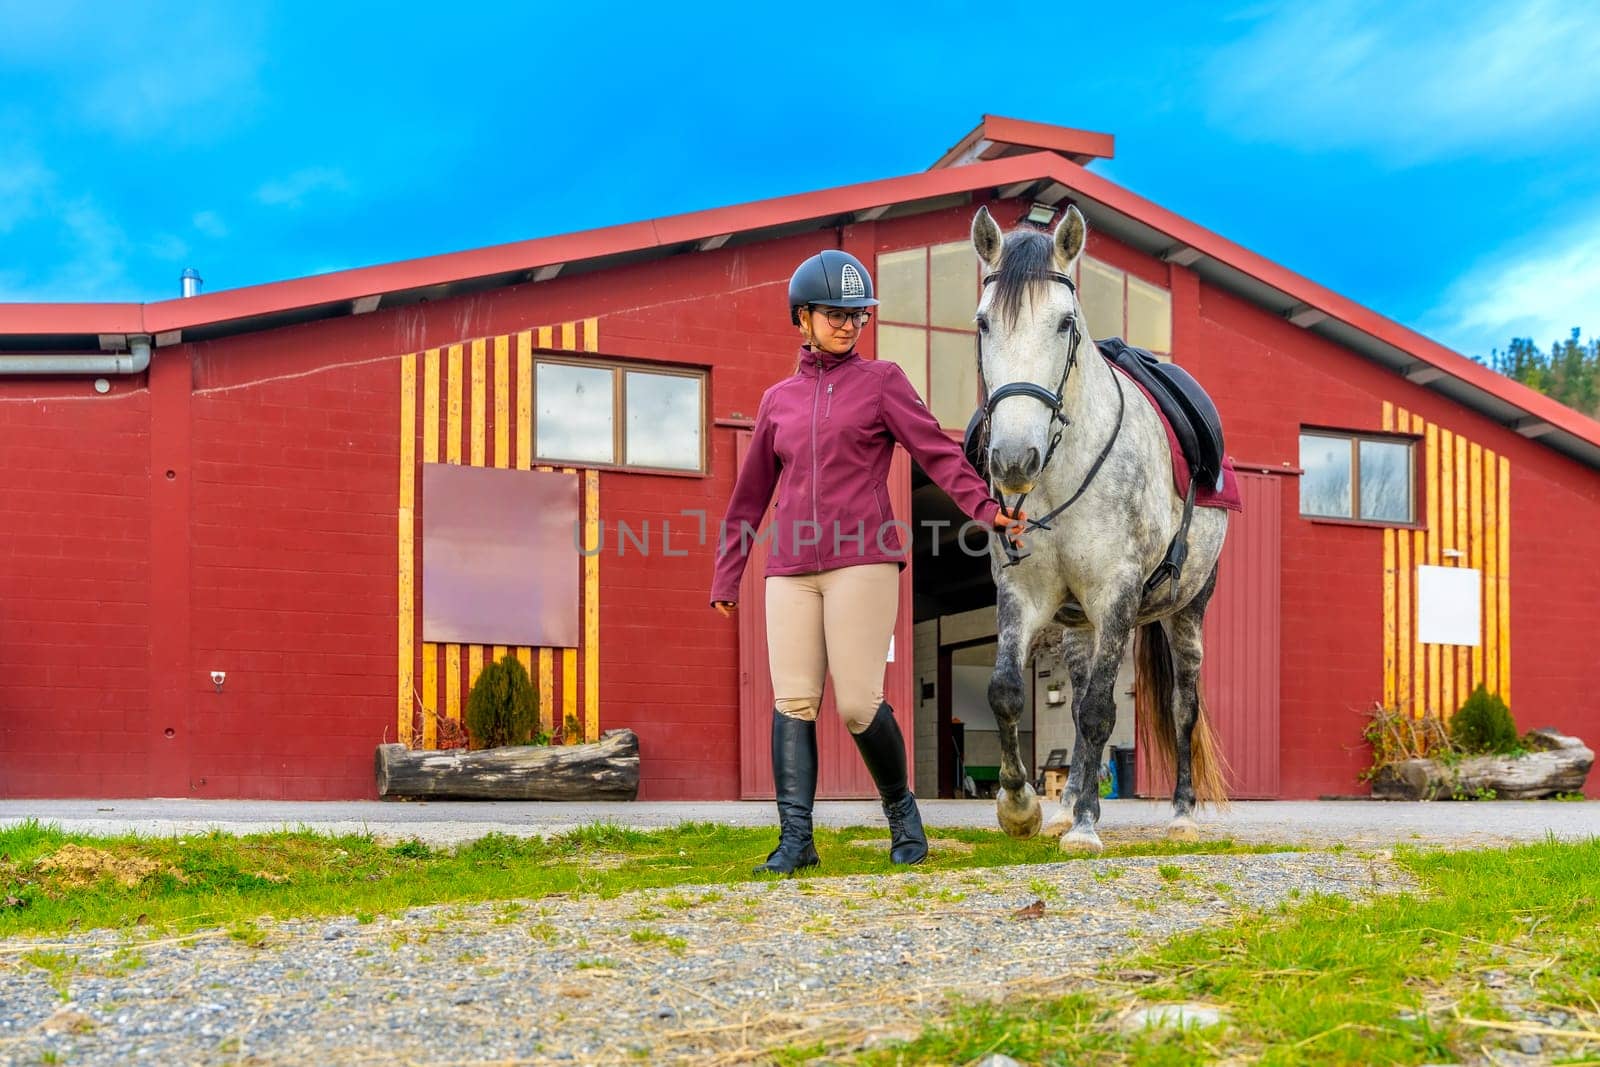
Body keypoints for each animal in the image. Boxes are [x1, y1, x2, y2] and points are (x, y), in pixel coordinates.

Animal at [966, 204, 1228, 857]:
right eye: (984, 323)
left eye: (1064, 324)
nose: (1013, 458)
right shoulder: (1024, 595)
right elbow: (1007, 692)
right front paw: (1021, 808)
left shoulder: (1117, 595)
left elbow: (1099, 714)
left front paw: (1087, 827)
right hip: (1077, 626)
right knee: (1082, 691)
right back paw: (1064, 807)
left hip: (1186, 613)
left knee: (1182, 705)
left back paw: (1180, 816)